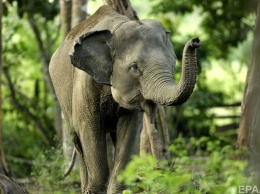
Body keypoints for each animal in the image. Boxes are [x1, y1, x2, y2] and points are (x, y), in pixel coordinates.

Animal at [48, 4, 200, 194]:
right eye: (134, 68)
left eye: (173, 65)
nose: (195, 40)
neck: (117, 27)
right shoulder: (84, 84)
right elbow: (89, 129)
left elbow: (130, 131)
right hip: (63, 99)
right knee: (77, 141)